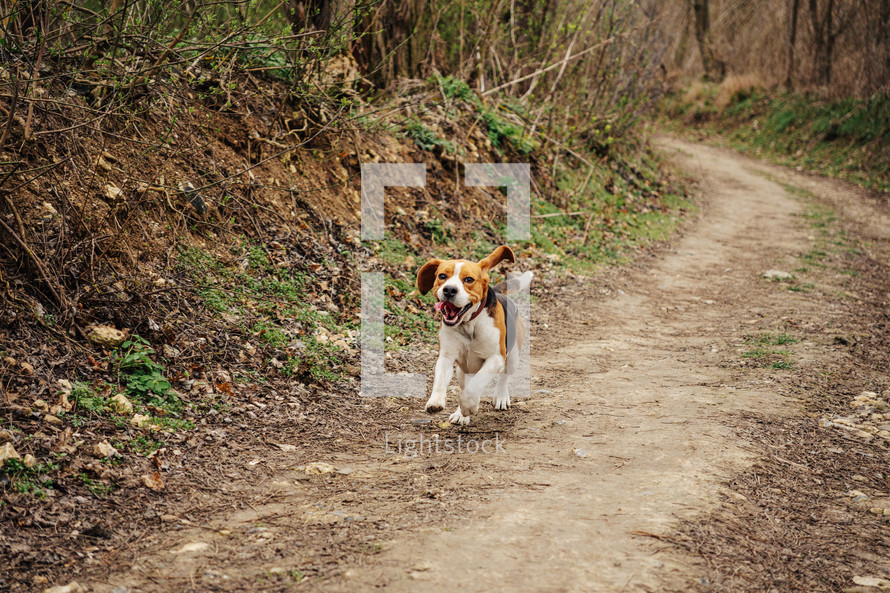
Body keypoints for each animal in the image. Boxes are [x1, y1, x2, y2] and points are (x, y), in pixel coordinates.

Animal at [414, 245, 532, 426]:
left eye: (468, 279)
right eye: (442, 276)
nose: (449, 290)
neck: (468, 325)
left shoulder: (495, 358)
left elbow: (477, 384)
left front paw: (469, 405)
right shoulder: (446, 357)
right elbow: (440, 380)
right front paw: (436, 401)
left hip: (513, 358)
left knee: (504, 375)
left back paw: (500, 397)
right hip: (462, 370)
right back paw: (460, 414)